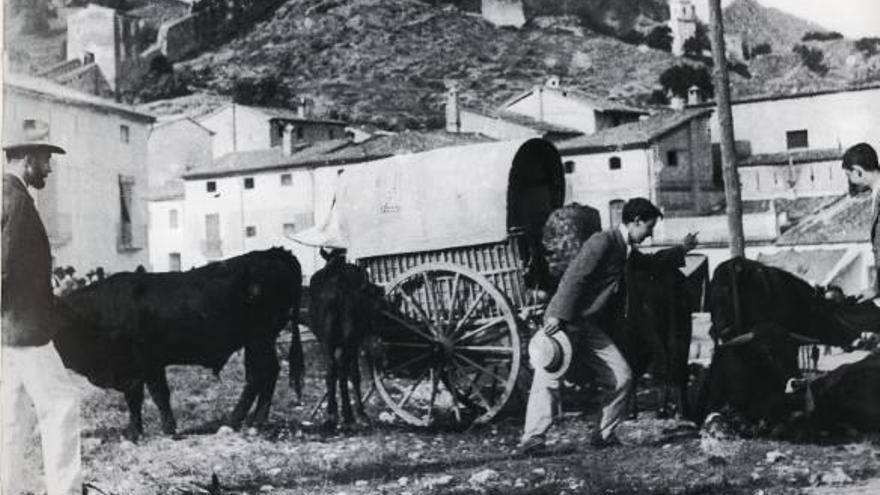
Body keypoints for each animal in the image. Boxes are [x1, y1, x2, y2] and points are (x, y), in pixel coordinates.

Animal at [55, 248, 302, 442]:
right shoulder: (136, 367)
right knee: (263, 374)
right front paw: (138, 432)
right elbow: (140, 398)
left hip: (260, 337)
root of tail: (275, 252)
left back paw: (242, 423)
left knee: (261, 374)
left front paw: (159, 431)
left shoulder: (144, 362)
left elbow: (152, 396)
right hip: (257, 341)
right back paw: (248, 421)